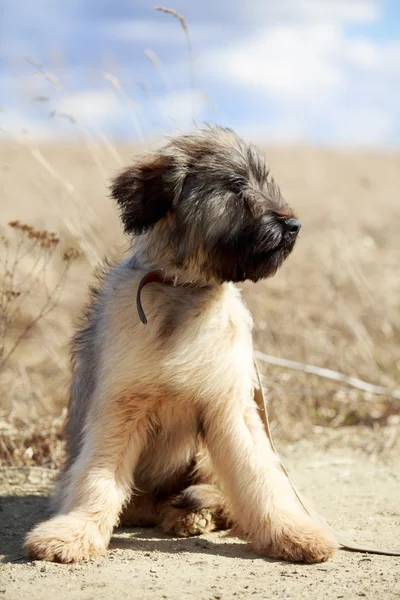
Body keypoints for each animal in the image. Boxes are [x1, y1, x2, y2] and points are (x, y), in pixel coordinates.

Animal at [24, 125, 338, 564]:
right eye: (236, 185)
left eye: (264, 181)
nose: (294, 225)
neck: (183, 291)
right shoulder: (120, 404)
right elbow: (98, 476)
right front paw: (74, 532)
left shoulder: (230, 405)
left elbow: (259, 475)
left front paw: (293, 531)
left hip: (203, 456)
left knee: (220, 495)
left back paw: (192, 514)